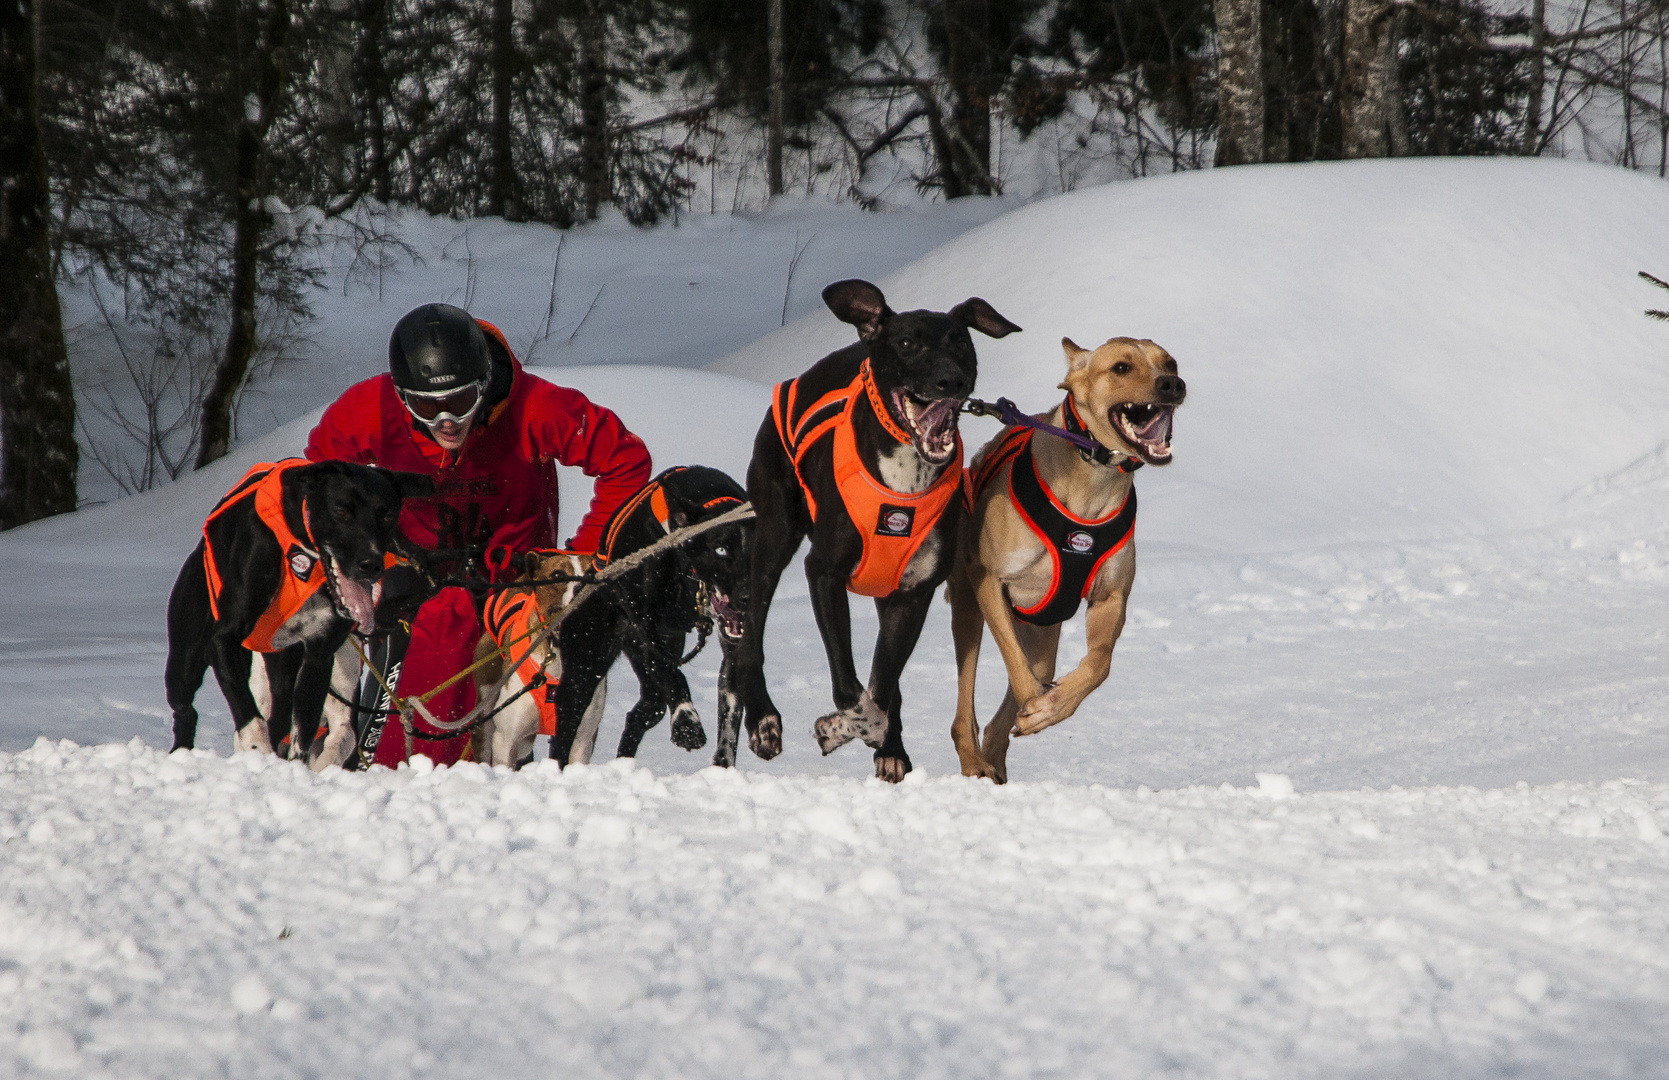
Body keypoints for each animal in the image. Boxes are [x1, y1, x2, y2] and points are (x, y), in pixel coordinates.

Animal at [164, 457, 430, 761]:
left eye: (387, 515)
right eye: (340, 511)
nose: (371, 564)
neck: (304, 554)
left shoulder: (318, 657)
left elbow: (303, 733)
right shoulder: (224, 640)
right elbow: (250, 718)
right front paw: (257, 750)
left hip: (283, 668)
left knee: (280, 718)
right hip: (186, 659)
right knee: (186, 711)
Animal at [467, 557, 604, 767]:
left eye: (593, 571)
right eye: (557, 575)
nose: (584, 586)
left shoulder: (582, 738)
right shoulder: (506, 739)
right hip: (486, 710)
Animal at [741, 283, 1014, 781]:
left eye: (960, 343)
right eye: (906, 343)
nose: (950, 381)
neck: (906, 472)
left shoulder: (914, 593)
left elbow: (882, 684)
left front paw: (869, 738)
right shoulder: (824, 573)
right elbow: (851, 688)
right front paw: (845, 727)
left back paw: (892, 747)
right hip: (774, 531)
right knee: (751, 630)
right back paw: (763, 720)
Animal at [947, 337, 1181, 784]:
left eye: (1171, 362)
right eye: (1122, 367)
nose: (1173, 384)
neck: (1090, 482)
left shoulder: (1110, 599)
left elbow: (1099, 664)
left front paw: (1053, 708)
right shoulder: (990, 581)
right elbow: (1019, 671)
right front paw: (1039, 705)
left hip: (1043, 632)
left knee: (1002, 718)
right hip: (969, 608)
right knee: (966, 709)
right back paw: (974, 763)